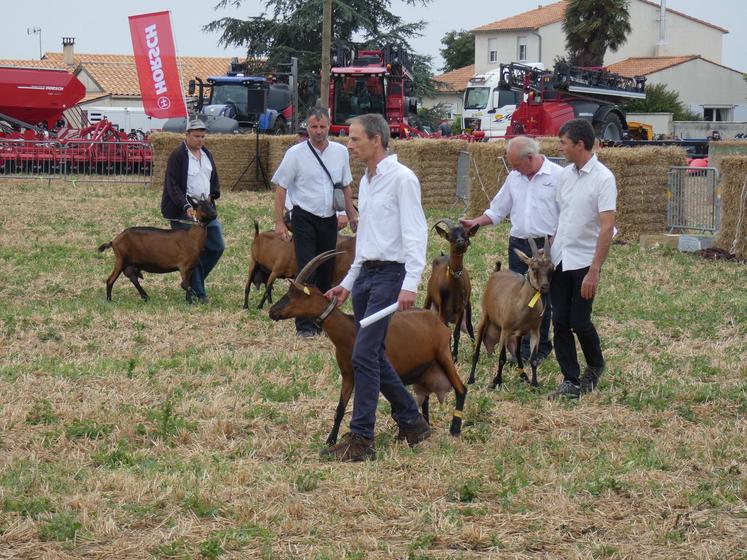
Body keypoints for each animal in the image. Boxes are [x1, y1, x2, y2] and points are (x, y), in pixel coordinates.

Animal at [268, 249, 468, 446]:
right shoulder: (348, 375)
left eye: (292, 294)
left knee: (461, 388)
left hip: (444, 355)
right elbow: (341, 408)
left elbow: (393, 407)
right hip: (425, 369)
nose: (272, 311)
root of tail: (439, 324)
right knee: (425, 397)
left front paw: (402, 436)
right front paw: (331, 440)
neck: (351, 331)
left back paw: (454, 430)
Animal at [420, 217, 480, 360]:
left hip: (468, 304)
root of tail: (442, 255)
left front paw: (455, 355)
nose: (461, 242)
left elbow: (457, 333)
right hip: (429, 296)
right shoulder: (442, 310)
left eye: (466, 235)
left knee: (469, 326)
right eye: (451, 237)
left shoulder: (461, 309)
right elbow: (446, 333)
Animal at [468, 237, 556, 390]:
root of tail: (496, 271)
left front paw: (534, 384)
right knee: (477, 350)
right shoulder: (505, 330)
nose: (545, 287)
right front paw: (497, 381)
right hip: (485, 316)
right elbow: (502, 358)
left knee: (518, 353)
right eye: (533, 268)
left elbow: (533, 359)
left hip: (519, 334)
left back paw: (523, 376)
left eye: (552, 269)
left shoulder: (535, 331)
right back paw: (471, 378)